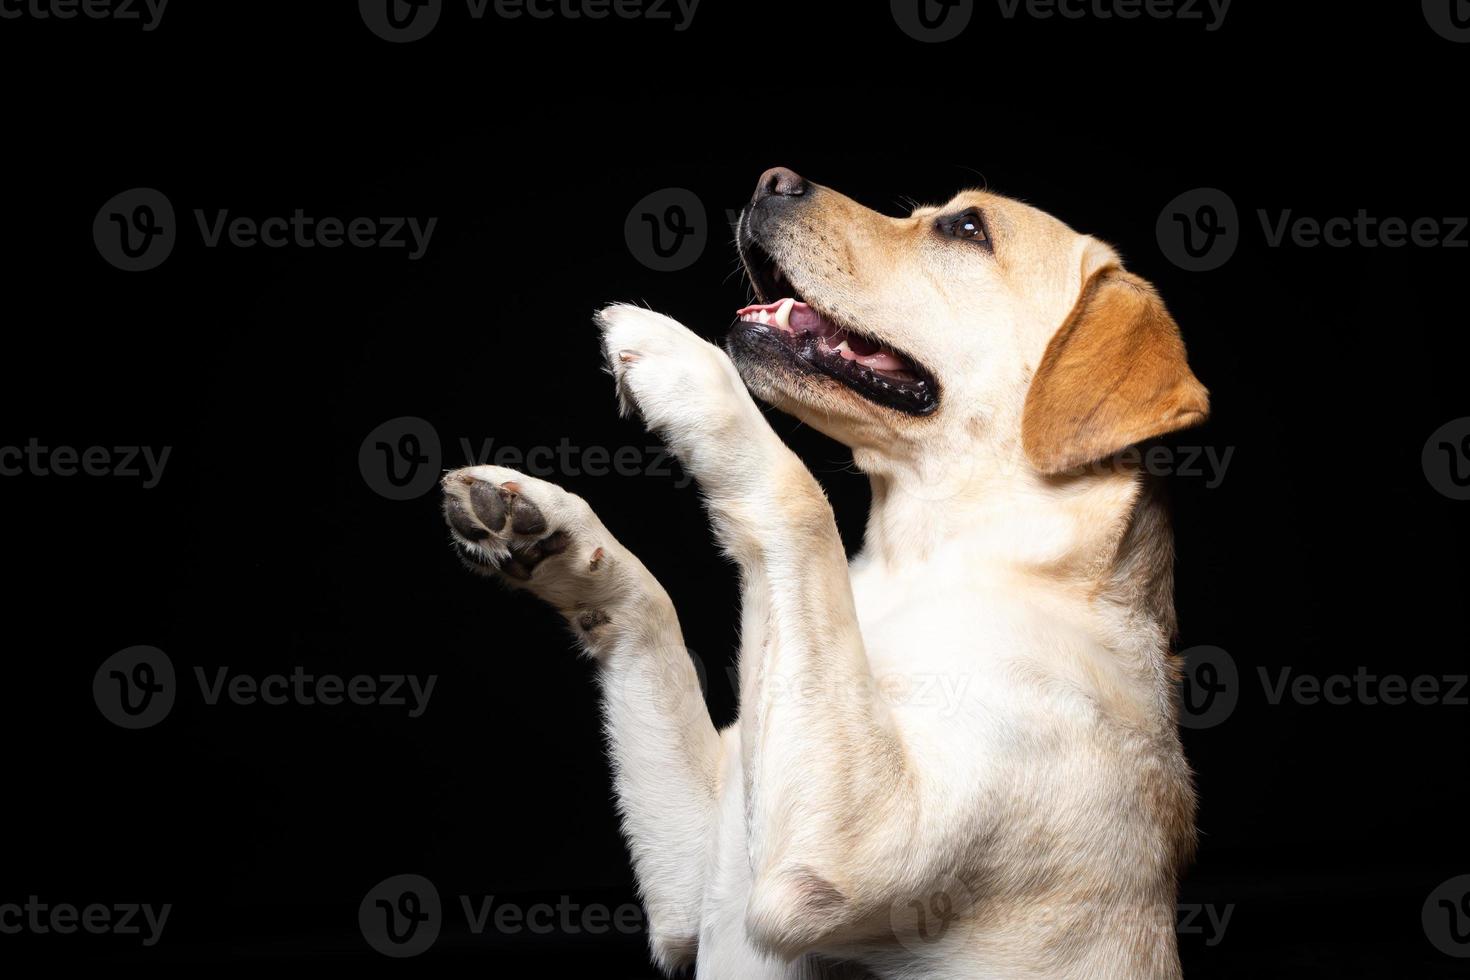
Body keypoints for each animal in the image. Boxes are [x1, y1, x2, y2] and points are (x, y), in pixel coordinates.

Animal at [441, 172, 1211, 975]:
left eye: (968, 228)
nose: (771, 180)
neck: (926, 563)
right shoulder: (694, 881)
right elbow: (653, 612)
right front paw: (553, 533)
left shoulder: (850, 849)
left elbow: (801, 498)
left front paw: (687, 364)